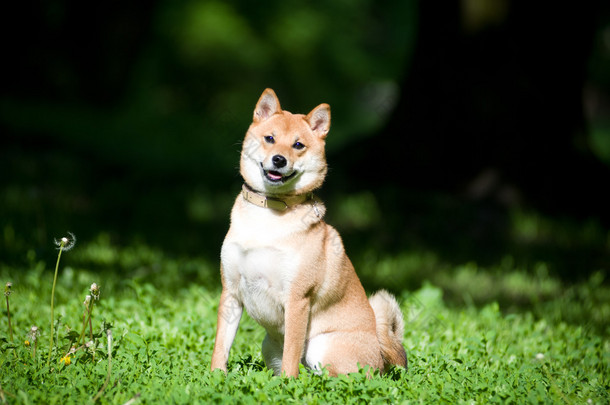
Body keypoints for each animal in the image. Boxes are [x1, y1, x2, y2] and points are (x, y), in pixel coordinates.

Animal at [211, 87, 406, 376]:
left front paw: (286, 384)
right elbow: (221, 345)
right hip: (269, 346)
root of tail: (381, 356)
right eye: (270, 138)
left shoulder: (297, 299)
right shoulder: (231, 293)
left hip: (321, 347)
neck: (268, 216)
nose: (279, 160)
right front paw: (215, 376)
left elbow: (292, 354)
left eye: (298, 145)